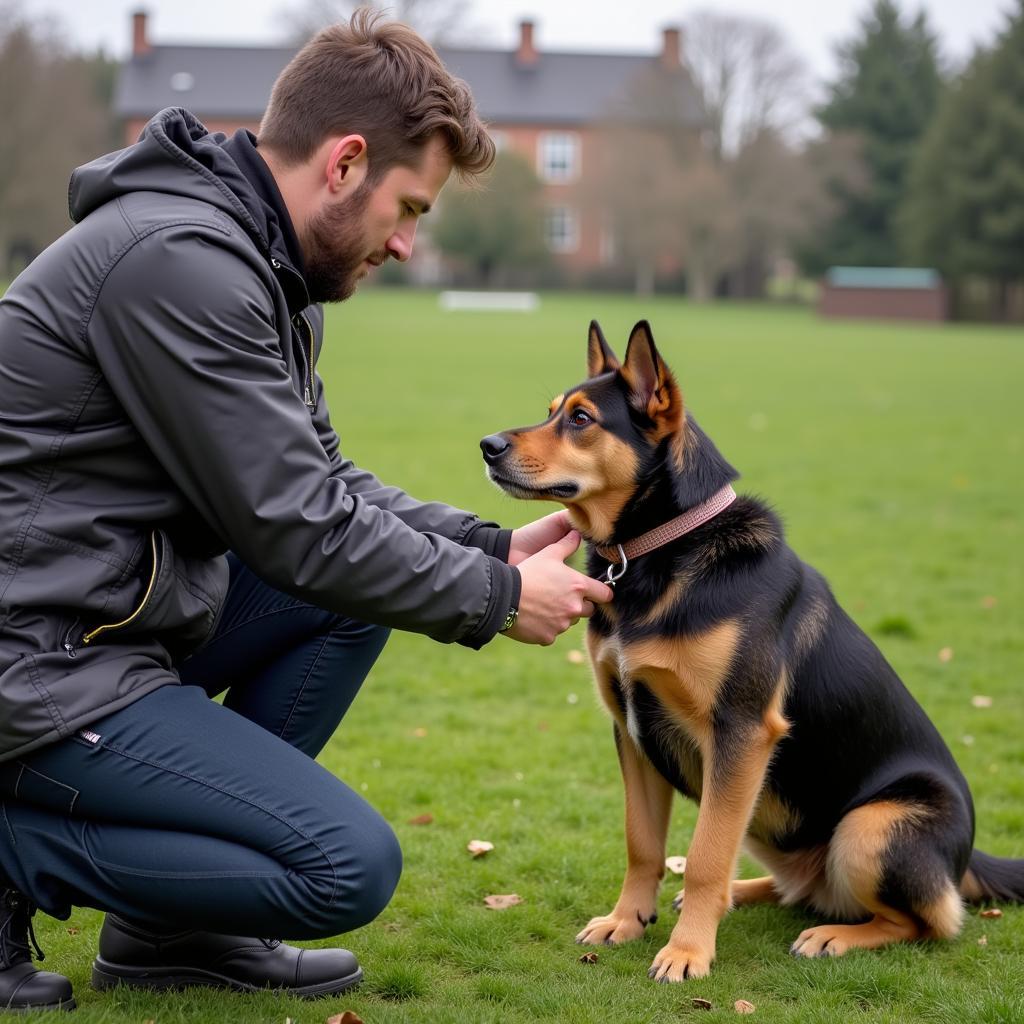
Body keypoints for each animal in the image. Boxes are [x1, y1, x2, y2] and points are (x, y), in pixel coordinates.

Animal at [481, 319, 1024, 983]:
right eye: (552, 412)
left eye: (582, 419)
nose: (486, 446)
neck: (664, 548)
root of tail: (964, 861)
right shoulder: (631, 729)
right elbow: (644, 845)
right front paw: (627, 920)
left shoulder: (740, 733)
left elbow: (706, 853)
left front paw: (688, 952)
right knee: (801, 888)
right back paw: (745, 894)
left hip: (868, 826)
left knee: (925, 923)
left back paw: (833, 936)